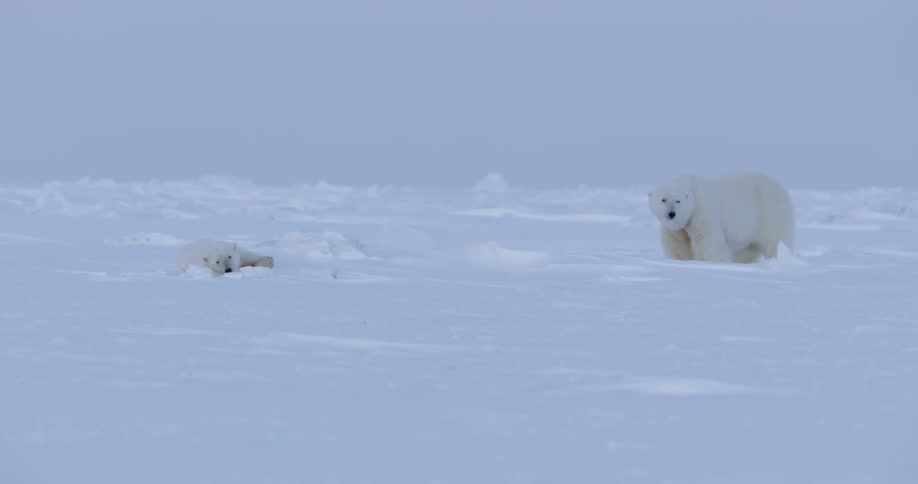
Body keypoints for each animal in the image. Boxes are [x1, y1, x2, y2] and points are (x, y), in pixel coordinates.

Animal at [647, 171, 796, 264]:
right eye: (663, 199)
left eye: (678, 201)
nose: (671, 214)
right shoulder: (675, 230)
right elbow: (678, 246)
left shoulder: (702, 213)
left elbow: (710, 243)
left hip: (770, 212)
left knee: (774, 241)